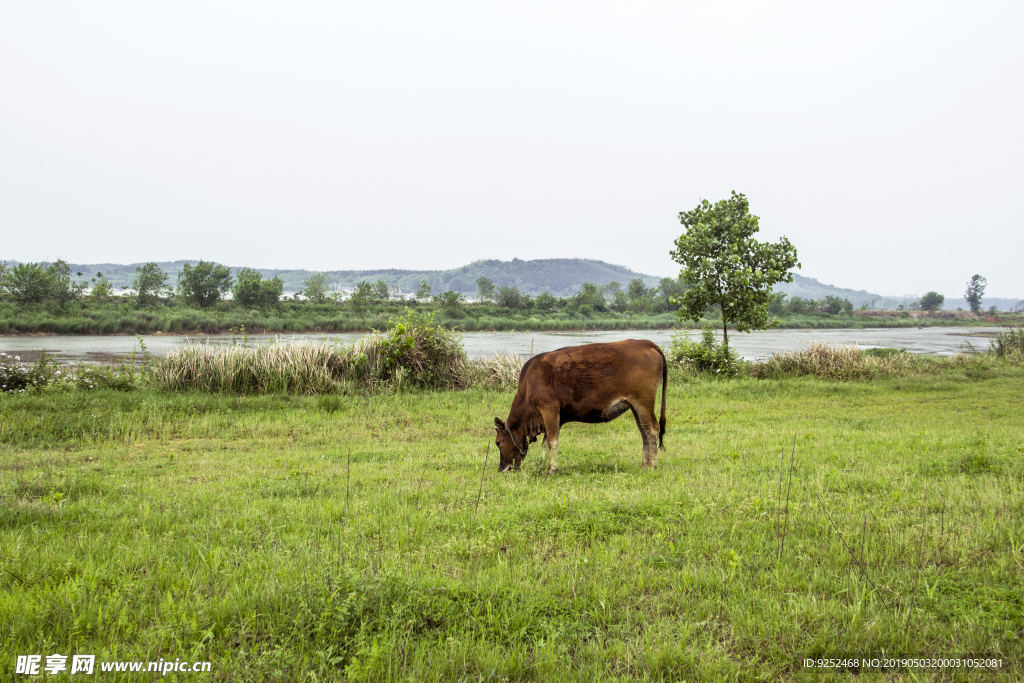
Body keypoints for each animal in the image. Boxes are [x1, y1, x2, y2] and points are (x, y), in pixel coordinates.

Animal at [491, 337, 667, 475]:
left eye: (498, 443)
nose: (502, 469)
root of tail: (645, 343)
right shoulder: (555, 416)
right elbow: (546, 441)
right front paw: (541, 465)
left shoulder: (549, 408)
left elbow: (553, 441)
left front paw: (550, 469)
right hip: (635, 406)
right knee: (644, 432)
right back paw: (644, 465)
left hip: (643, 402)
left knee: (652, 430)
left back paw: (653, 465)